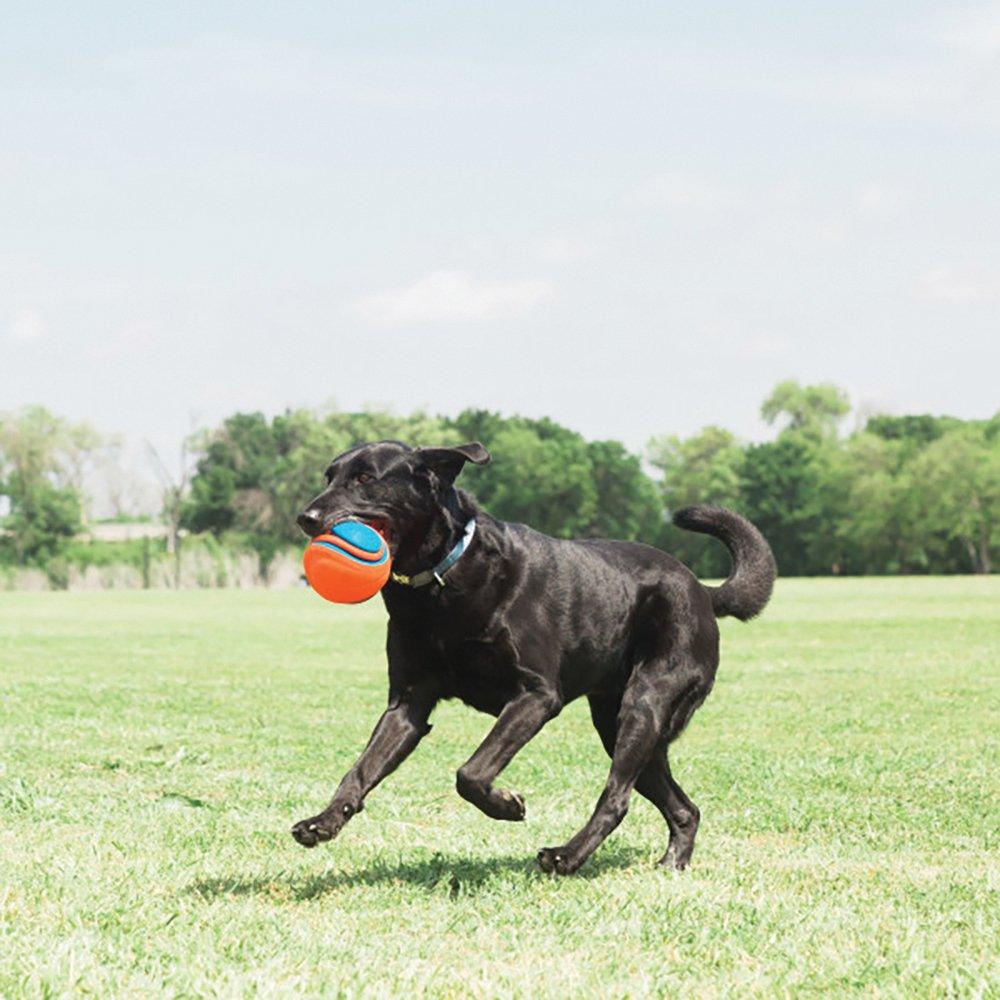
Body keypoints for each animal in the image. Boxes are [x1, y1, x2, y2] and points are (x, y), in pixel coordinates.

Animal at [290, 444, 772, 876]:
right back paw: (672, 863)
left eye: (364, 478)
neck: (443, 581)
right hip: (618, 723)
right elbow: (360, 770)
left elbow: (472, 772)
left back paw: (566, 857)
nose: (305, 518)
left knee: (617, 796)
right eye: (329, 476)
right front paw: (323, 822)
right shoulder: (407, 704)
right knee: (683, 807)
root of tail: (702, 590)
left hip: (646, 705)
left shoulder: (536, 696)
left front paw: (507, 805)